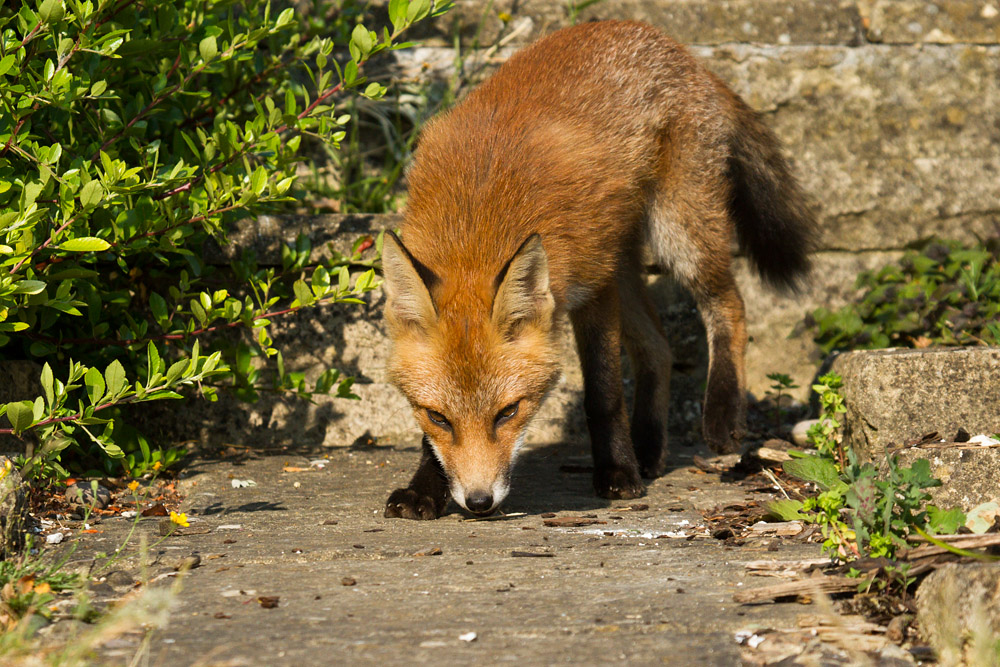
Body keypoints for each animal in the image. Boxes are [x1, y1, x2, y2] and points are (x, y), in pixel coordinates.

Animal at [380, 20, 817, 519]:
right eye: (438, 417)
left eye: (508, 412)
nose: (478, 501)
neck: (477, 223)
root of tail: (670, 44)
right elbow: (428, 444)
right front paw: (422, 489)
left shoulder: (593, 286)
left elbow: (604, 395)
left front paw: (617, 473)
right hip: (625, 257)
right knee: (659, 346)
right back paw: (649, 447)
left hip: (676, 233)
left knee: (729, 305)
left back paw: (720, 417)